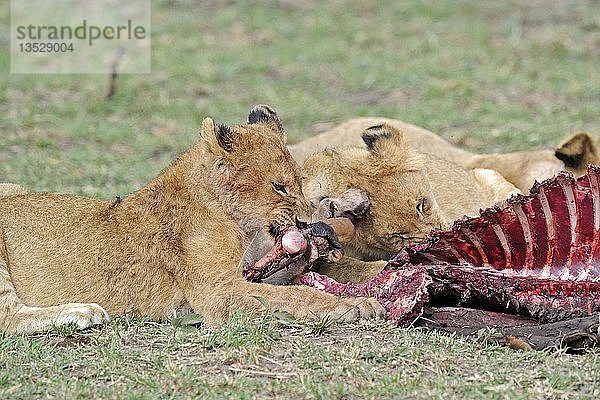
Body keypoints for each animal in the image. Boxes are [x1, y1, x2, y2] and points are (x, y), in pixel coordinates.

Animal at [0, 104, 384, 332]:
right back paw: (84, 312)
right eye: (279, 186)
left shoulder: (250, 271)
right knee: (8, 318)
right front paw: (355, 306)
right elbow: (296, 296)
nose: (307, 221)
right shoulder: (215, 292)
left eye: (301, 181)